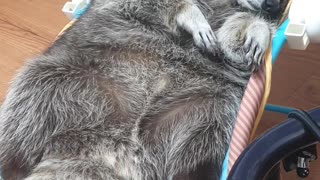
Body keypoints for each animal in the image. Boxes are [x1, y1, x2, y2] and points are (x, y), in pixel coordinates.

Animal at [0, 0, 284, 179]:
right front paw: (187, 11)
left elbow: (232, 40)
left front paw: (256, 27)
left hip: (204, 107)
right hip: (68, 78)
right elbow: (150, 3)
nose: (275, 4)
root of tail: (116, 155)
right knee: (27, 103)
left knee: (203, 141)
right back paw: (9, 163)